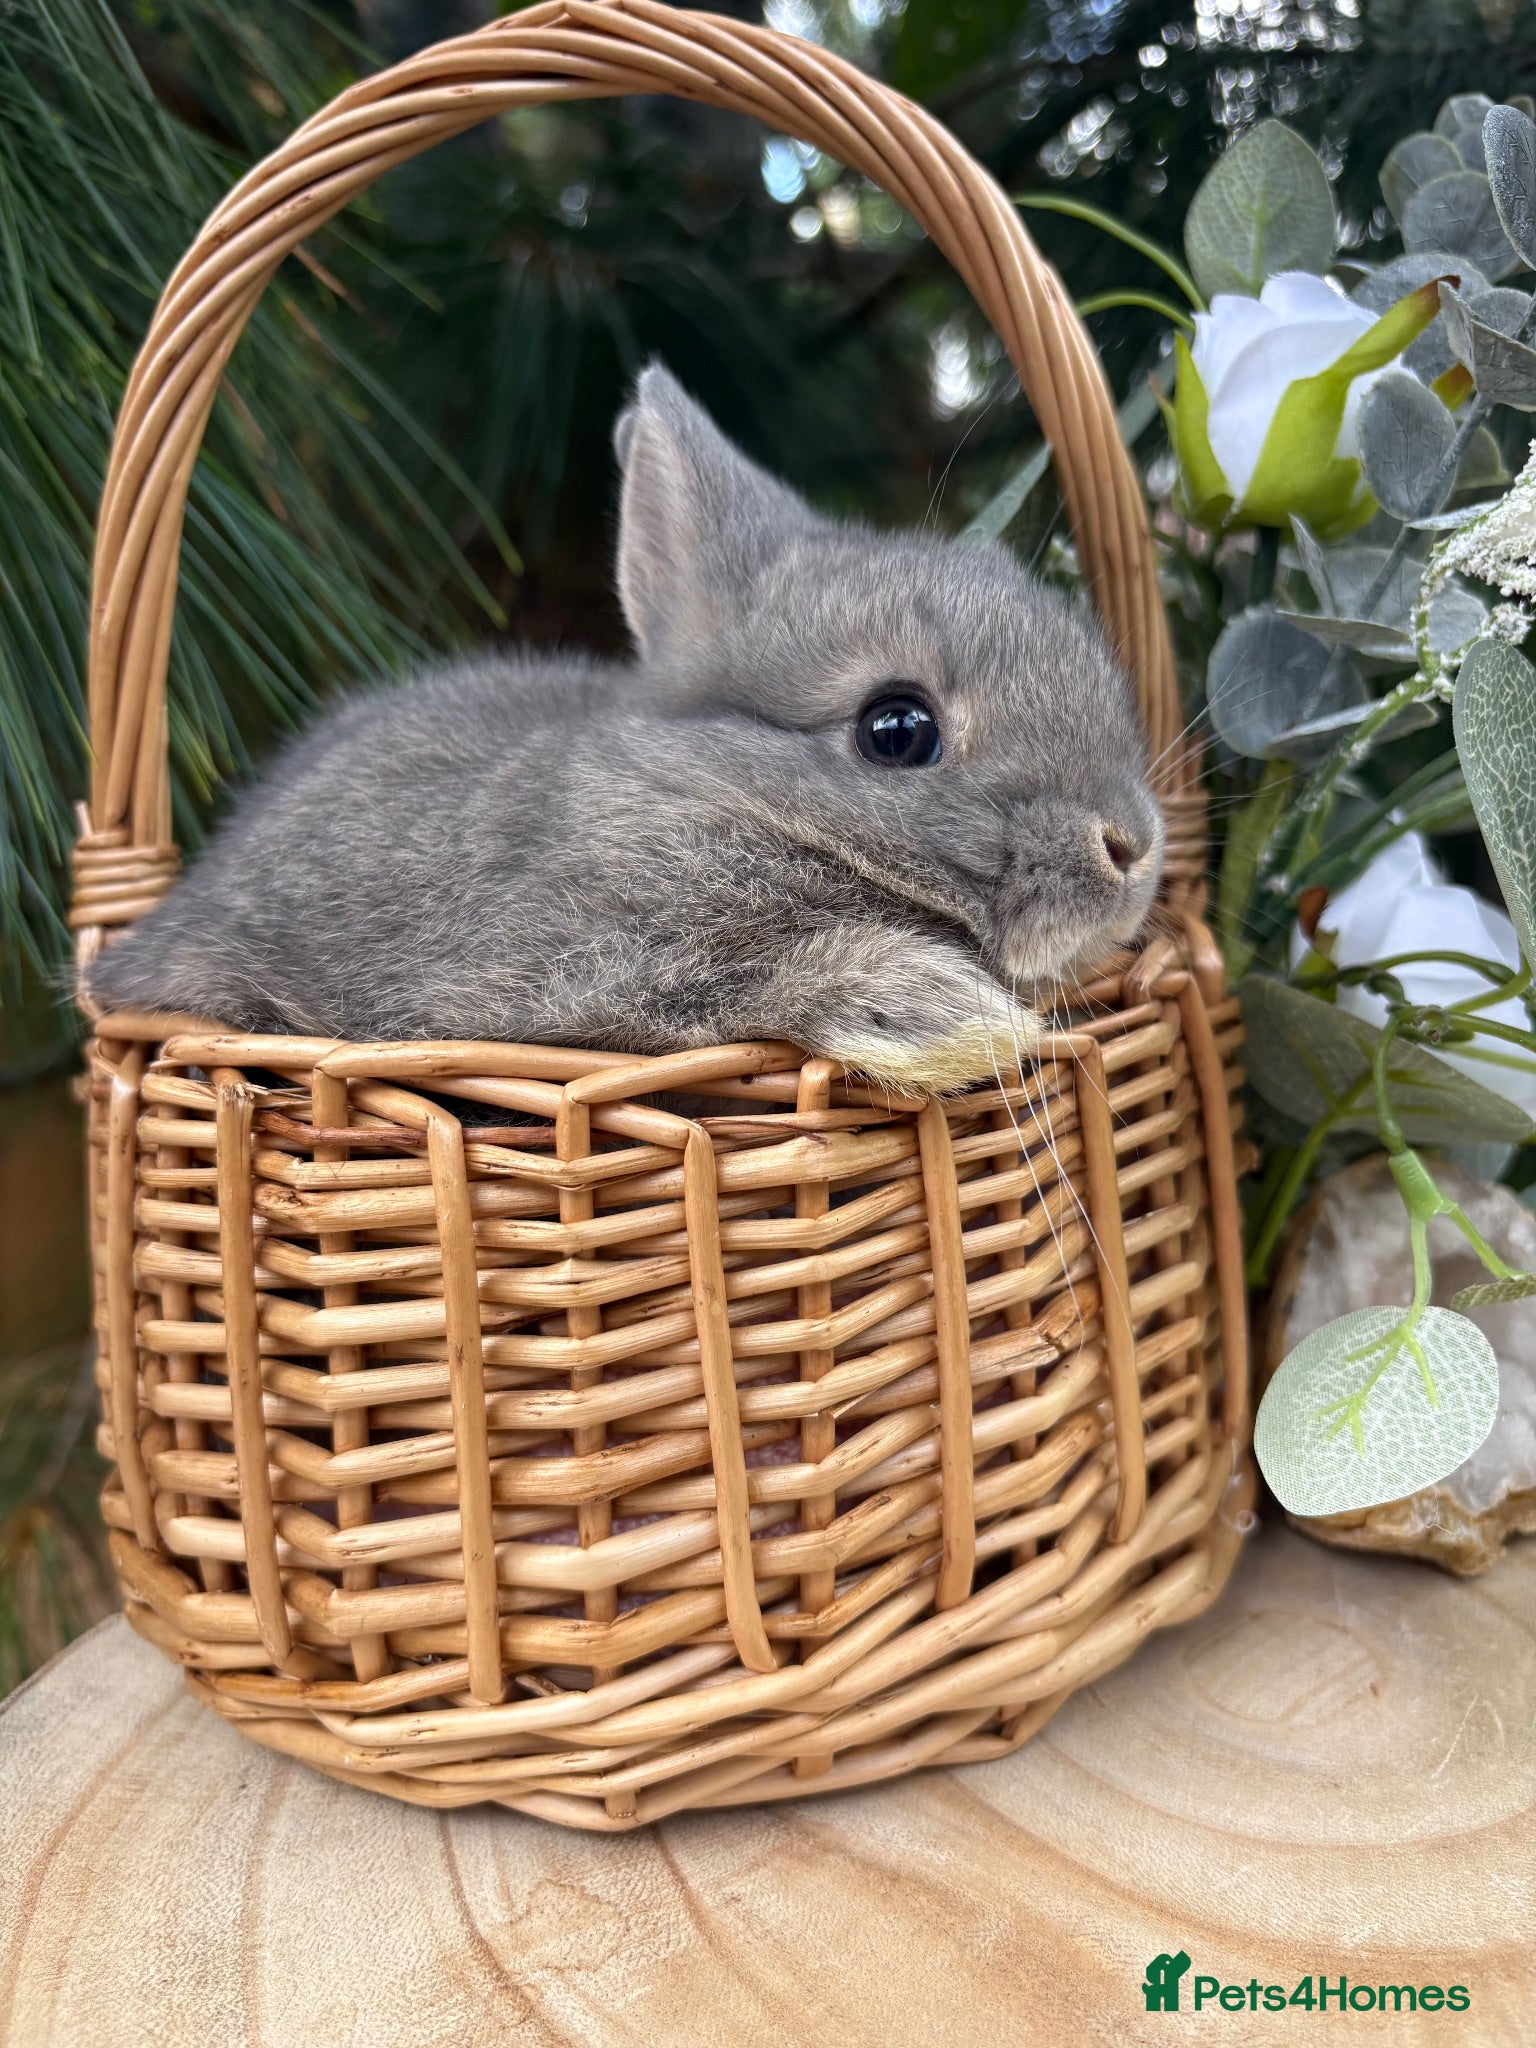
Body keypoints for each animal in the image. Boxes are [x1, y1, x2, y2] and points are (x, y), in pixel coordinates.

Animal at [88, 364, 1164, 1094]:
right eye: (896, 729)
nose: (1132, 847)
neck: (728, 791)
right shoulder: (552, 981)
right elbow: (737, 975)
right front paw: (955, 1019)